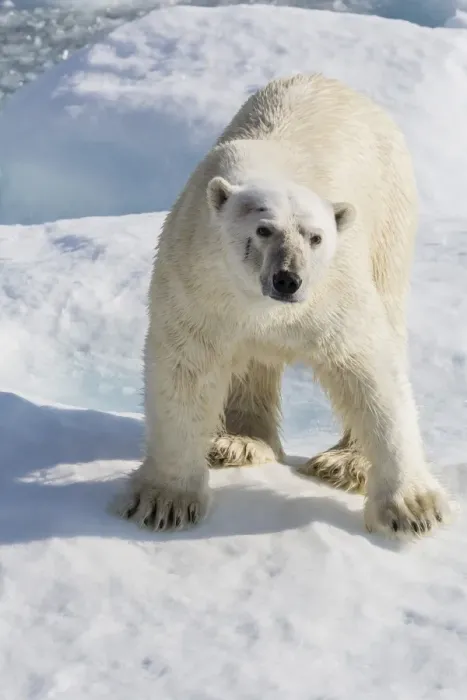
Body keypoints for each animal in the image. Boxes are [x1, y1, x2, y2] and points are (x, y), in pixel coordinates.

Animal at [114, 73, 451, 539]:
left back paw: (342, 463)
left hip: (390, 221)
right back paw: (236, 442)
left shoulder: (334, 291)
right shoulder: (197, 283)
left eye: (315, 237)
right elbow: (187, 368)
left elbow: (368, 368)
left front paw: (414, 509)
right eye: (263, 229)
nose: (287, 280)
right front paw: (164, 501)